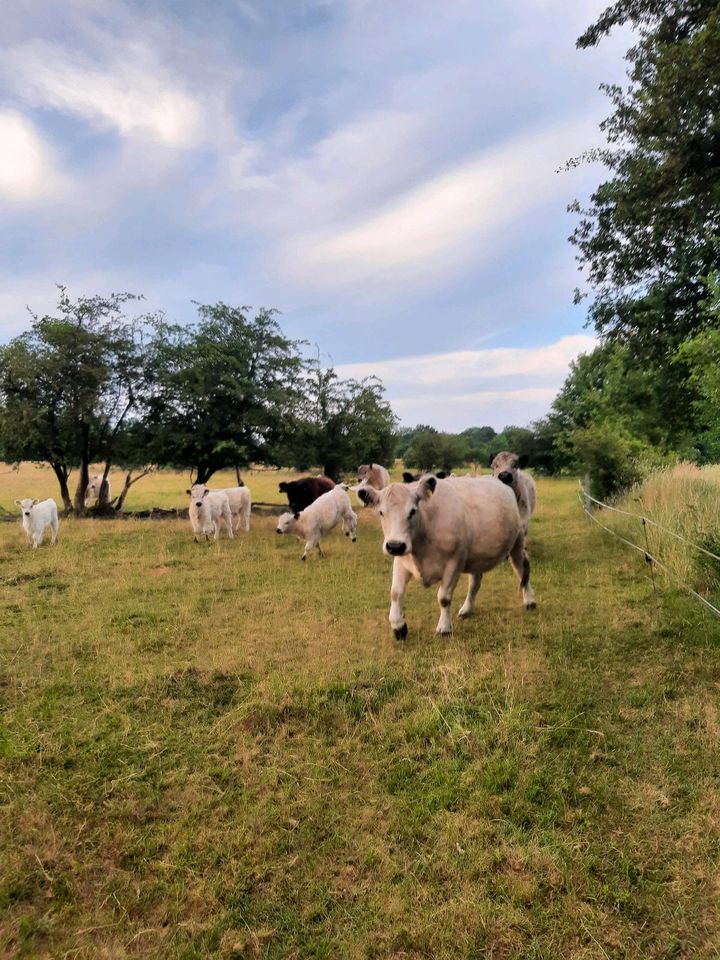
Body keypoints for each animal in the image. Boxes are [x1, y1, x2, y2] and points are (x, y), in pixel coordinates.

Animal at [358, 472, 536, 636]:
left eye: (412, 511)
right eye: (381, 512)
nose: (395, 546)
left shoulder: (454, 562)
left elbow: (443, 597)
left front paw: (444, 627)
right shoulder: (402, 560)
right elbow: (395, 593)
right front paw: (398, 626)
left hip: (518, 542)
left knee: (522, 570)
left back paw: (529, 600)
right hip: (476, 556)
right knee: (475, 582)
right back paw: (467, 608)